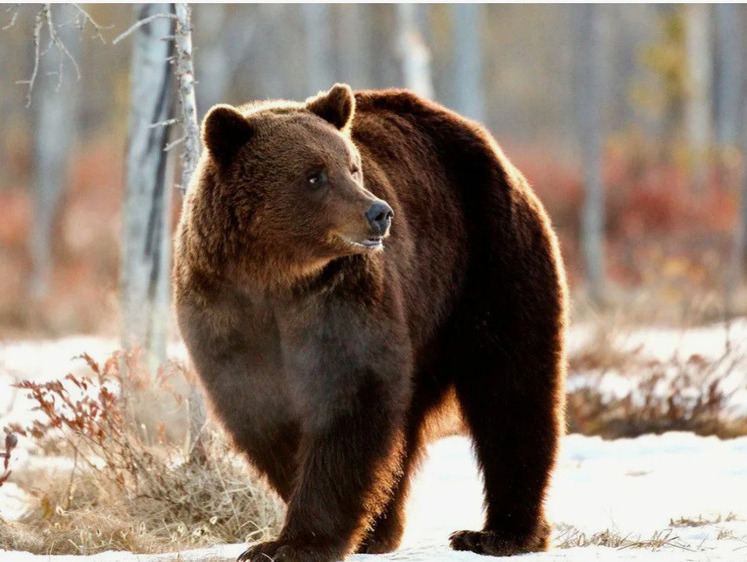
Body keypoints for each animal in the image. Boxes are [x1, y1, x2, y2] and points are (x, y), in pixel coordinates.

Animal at [174, 84, 568, 560]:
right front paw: (307, 530)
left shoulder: (341, 297)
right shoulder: (225, 311)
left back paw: (500, 533)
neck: (276, 278)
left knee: (511, 386)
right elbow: (263, 410)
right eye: (314, 175)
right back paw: (385, 528)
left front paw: (299, 541)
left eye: (353, 166)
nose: (379, 213)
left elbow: (351, 398)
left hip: (488, 261)